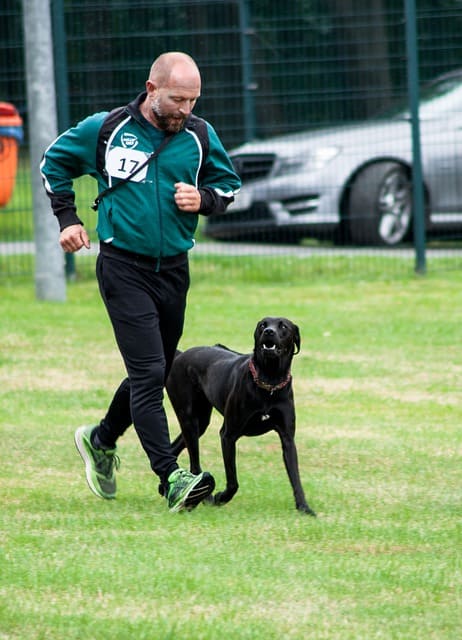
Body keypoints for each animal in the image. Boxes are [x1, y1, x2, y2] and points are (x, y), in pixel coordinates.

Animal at [165, 316, 314, 516]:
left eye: (283, 326)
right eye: (262, 325)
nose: (269, 332)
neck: (269, 381)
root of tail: (180, 355)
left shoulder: (288, 438)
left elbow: (295, 477)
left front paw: (304, 507)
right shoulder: (228, 435)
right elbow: (233, 481)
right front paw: (221, 497)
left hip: (200, 421)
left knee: (174, 448)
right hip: (188, 418)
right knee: (194, 463)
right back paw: (204, 496)